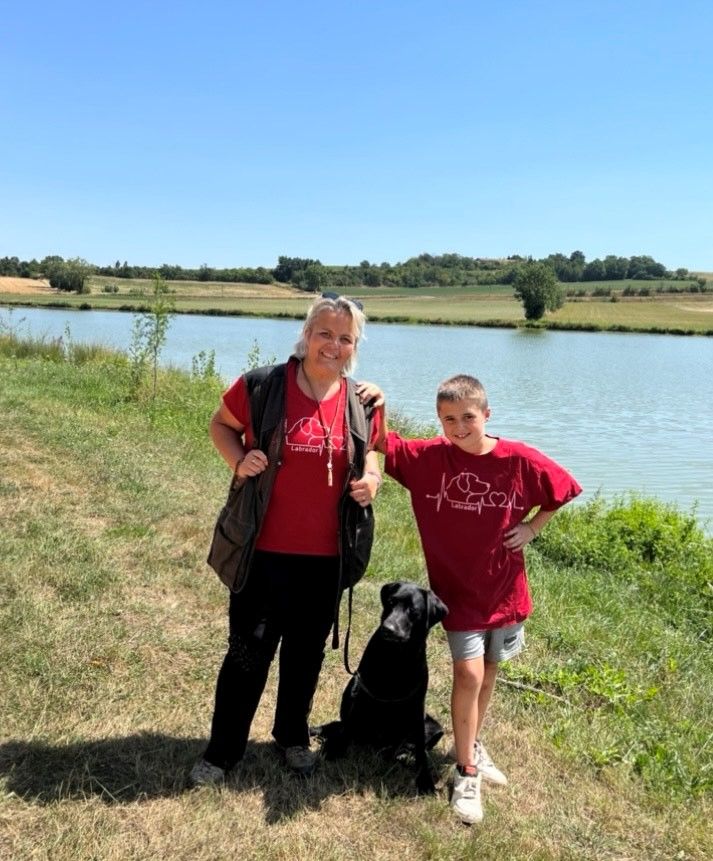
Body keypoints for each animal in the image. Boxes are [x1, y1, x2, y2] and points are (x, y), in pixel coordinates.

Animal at [316, 576, 448, 792]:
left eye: (413, 610)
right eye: (391, 602)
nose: (388, 629)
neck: (395, 657)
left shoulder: (417, 708)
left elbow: (421, 749)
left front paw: (425, 780)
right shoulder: (362, 694)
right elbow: (346, 728)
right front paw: (334, 749)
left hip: (434, 727)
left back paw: (404, 754)